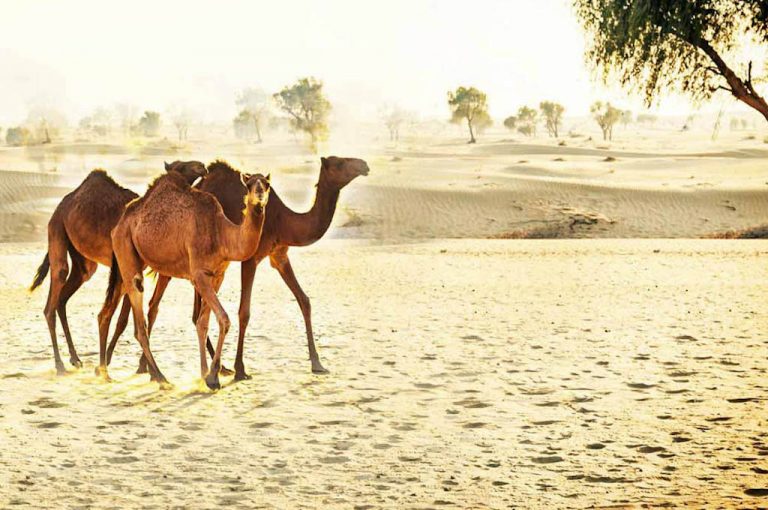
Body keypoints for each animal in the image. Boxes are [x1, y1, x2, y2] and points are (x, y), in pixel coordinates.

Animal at [29, 161, 207, 374]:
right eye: (180, 166)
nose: (202, 166)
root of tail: (61, 206)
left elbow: (123, 320)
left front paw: (112, 361)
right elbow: (124, 319)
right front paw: (113, 363)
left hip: (83, 262)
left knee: (65, 295)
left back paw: (75, 358)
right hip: (56, 228)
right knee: (55, 290)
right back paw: (60, 364)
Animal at [102, 163, 270, 389]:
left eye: (267, 184)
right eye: (249, 184)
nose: (259, 194)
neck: (220, 233)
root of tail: (120, 223)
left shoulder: (217, 275)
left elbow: (203, 322)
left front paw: (206, 374)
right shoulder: (199, 274)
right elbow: (223, 319)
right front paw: (213, 377)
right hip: (125, 248)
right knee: (139, 321)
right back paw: (160, 377)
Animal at [121, 156, 369, 380]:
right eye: (340, 163)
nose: (364, 165)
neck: (283, 221)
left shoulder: (279, 256)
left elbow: (304, 300)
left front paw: (317, 363)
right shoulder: (251, 259)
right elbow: (244, 312)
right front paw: (240, 369)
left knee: (180, 310)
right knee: (156, 305)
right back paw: (156, 368)